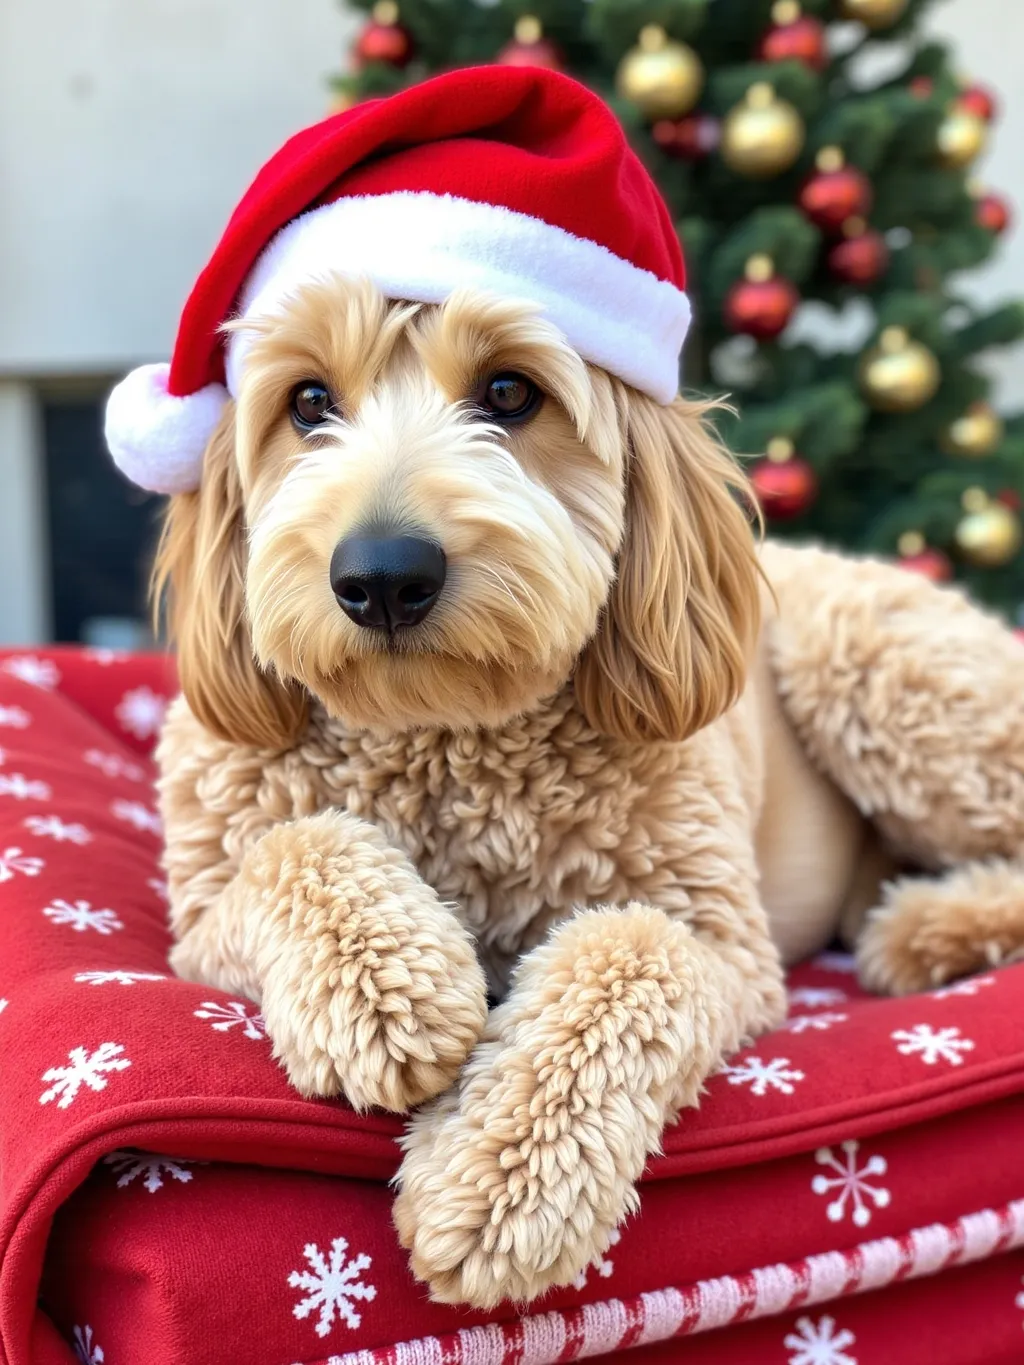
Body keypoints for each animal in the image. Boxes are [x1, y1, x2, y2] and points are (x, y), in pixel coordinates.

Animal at [104, 66, 1024, 1310]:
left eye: (508, 392)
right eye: (305, 404)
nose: (381, 577)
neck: (448, 739)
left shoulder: (719, 941)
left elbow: (623, 955)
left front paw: (498, 1179)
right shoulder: (203, 915)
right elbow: (291, 851)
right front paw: (388, 993)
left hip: (884, 674)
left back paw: (928, 924)